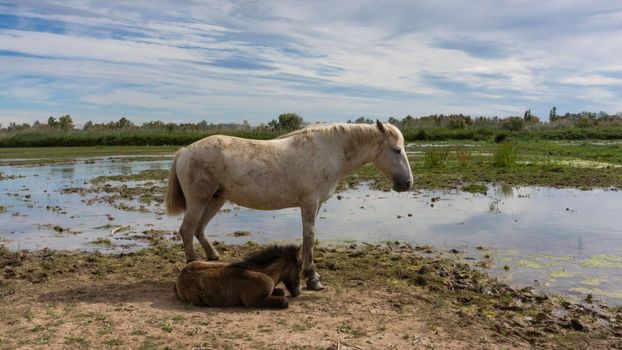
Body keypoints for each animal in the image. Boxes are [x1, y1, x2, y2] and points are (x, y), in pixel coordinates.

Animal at [167, 120, 414, 290]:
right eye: (396, 150)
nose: (407, 183)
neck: (327, 151)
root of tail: (185, 150)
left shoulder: (316, 204)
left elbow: (307, 239)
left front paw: (306, 271)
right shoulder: (309, 202)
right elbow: (310, 237)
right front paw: (313, 279)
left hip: (216, 199)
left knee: (199, 229)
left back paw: (213, 257)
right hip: (199, 201)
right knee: (187, 230)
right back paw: (192, 265)